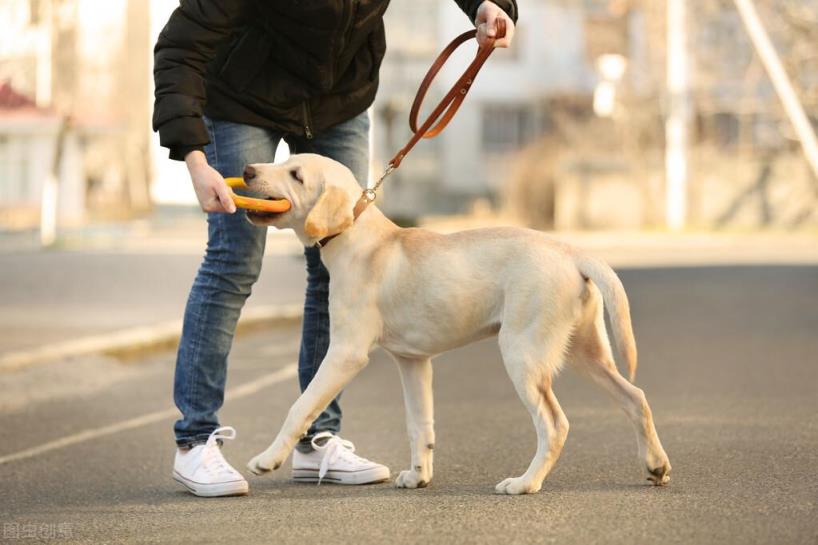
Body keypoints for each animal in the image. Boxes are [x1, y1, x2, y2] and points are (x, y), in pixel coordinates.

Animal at [244, 152, 668, 492]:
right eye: (284, 161)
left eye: (296, 174)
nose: (247, 171)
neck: (360, 237)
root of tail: (571, 251)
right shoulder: (413, 361)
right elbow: (420, 424)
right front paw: (419, 476)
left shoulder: (346, 353)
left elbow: (301, 406)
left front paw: (267, 459)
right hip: (585, 352)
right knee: (636, 397)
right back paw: (656, 465)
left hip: (523, 354)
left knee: (554, 424)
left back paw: (525, 483)